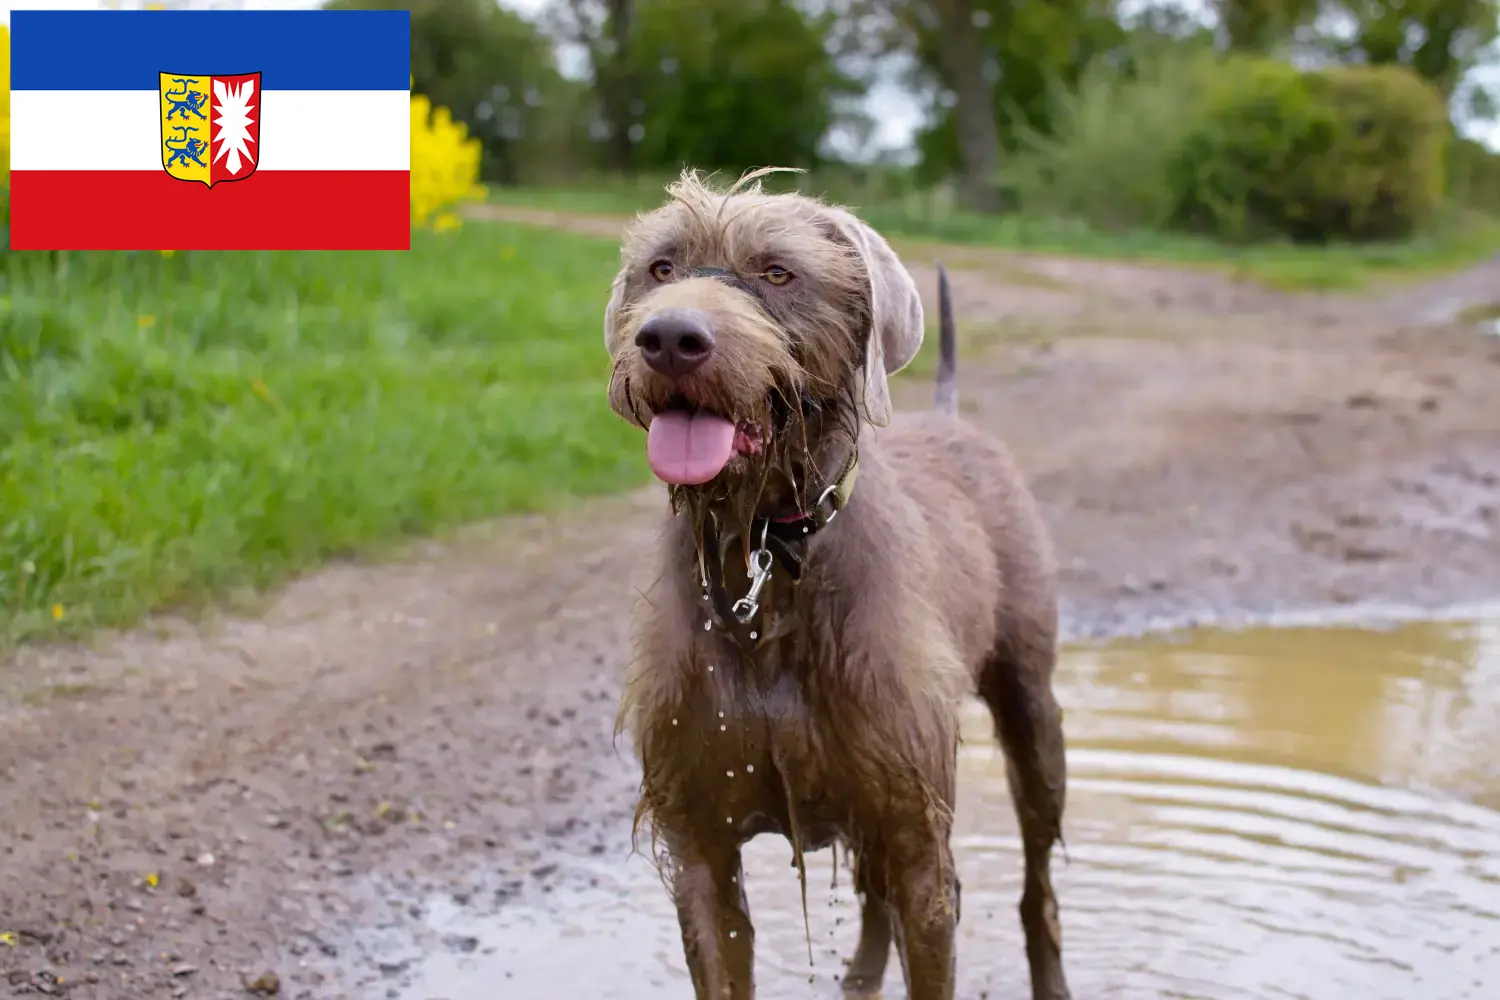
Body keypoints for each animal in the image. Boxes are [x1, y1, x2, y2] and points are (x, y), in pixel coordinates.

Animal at [603, 172, 1074, 1000]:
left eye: (777, 272)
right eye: (660, 268)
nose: (669, 338)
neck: (765, 558)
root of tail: (953, 415)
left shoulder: (918, 841)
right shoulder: (699, 846)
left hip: (1031, 711)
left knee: (1037, 884)